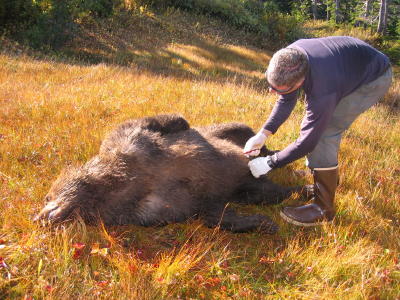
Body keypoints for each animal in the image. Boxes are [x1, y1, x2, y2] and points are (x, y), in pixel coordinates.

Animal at [35, 113, 304, 233]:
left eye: (48, 196)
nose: (39, 216)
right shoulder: (155, 209)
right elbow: (211, 214)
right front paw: (262, 222)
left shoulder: (131, 141)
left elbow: (155, 121)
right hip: (245, 187)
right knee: (269, 192)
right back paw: (302, 188)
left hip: (234, 132)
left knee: (243, 131)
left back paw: (272, 155)